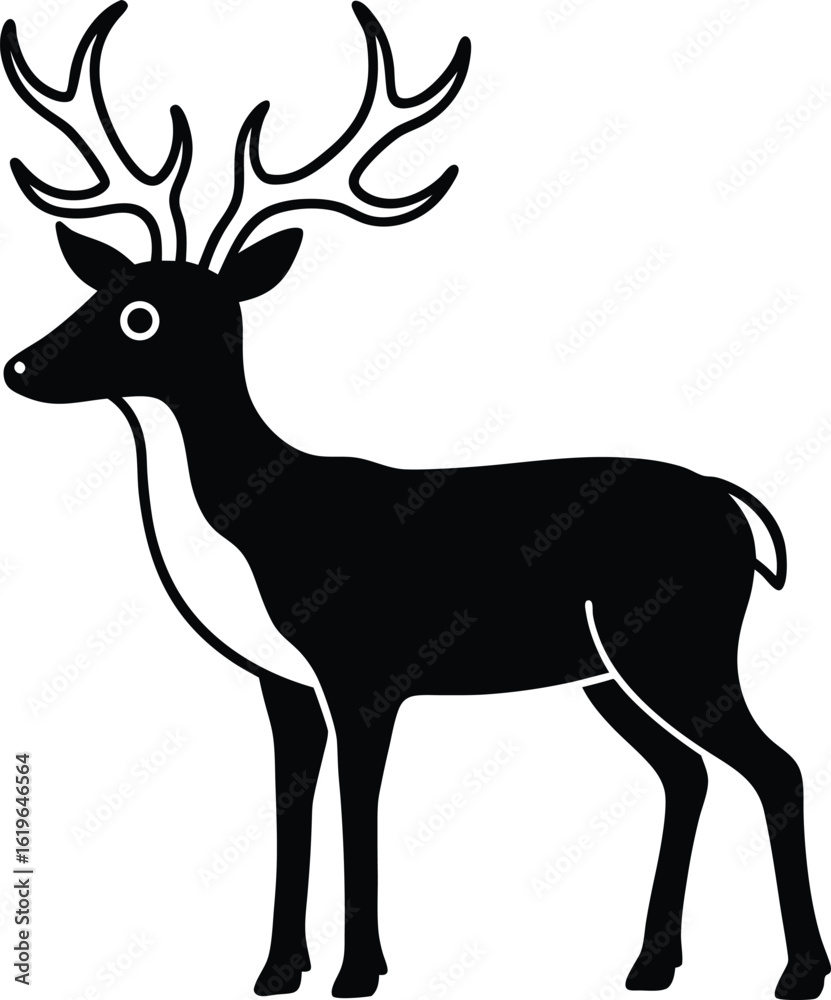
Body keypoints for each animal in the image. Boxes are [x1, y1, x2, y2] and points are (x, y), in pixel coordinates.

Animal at [2, 2, 828, 998]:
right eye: (106, 290)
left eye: (141, 317)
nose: (19, 367)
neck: (253, 523)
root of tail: (732, 503)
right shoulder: (283, 683)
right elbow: (290, 809)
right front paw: (275, 972)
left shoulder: (364, 671)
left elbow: (359, 812)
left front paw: (357, 973)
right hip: (609, 670)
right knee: (686, 774)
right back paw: (648, 965)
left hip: (680, 642)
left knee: (775, 767)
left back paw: (796, 973)